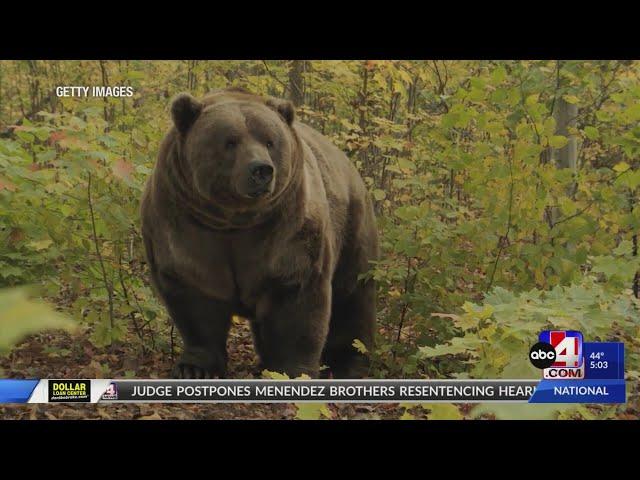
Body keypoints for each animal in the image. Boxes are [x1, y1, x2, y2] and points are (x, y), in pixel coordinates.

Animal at [141, 87, 376, 378]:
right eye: (230, 141)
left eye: (269, 141)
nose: (261, 170)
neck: (234, 221)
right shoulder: (185, 223)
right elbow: (195, 295)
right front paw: (193, 367)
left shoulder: (287, 230)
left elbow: (298, 297)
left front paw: (293, 369)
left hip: (352, 225)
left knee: (352, 294)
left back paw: (349, 362)